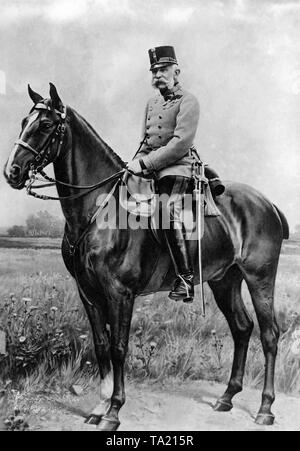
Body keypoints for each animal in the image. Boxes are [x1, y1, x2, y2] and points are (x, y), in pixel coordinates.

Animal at [3, 83, 290, 432]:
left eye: (45, 125)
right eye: (23, 122)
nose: (12, 172)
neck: (99, 210)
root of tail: (267, 203)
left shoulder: (120, 294)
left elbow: (118, 347)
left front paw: (114, 411)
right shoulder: (88, 293)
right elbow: (101, 346)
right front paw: (99, 407)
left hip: (260, 278)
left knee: (269, 334)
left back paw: (265, 408)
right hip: (225, 280)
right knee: (241, 328)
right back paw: (226, 397)